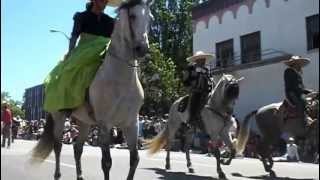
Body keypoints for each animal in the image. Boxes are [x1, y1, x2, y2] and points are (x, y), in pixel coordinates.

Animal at [30, 0, 154, 180]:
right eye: (132, 16)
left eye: (151, 18)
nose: (142, 48)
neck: (121, 79)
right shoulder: (105, 124)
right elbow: (107, 162)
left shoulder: (132, 124)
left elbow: (135, 159)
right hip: (59, 118)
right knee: (58, 147)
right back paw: (58, 174)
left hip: (84, 123)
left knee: (78, 148)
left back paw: (80, 176)